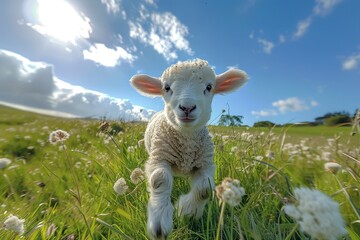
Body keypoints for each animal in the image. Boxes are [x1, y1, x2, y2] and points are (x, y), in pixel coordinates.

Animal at [129, 59, 248, 239]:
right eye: (166, 87)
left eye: (209, 87)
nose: (187, 107)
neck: (186, 142)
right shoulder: (159, 157)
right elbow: (159, 179)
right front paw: (159, 224)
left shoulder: (205, 163)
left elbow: (205, 188)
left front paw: (186, 212)